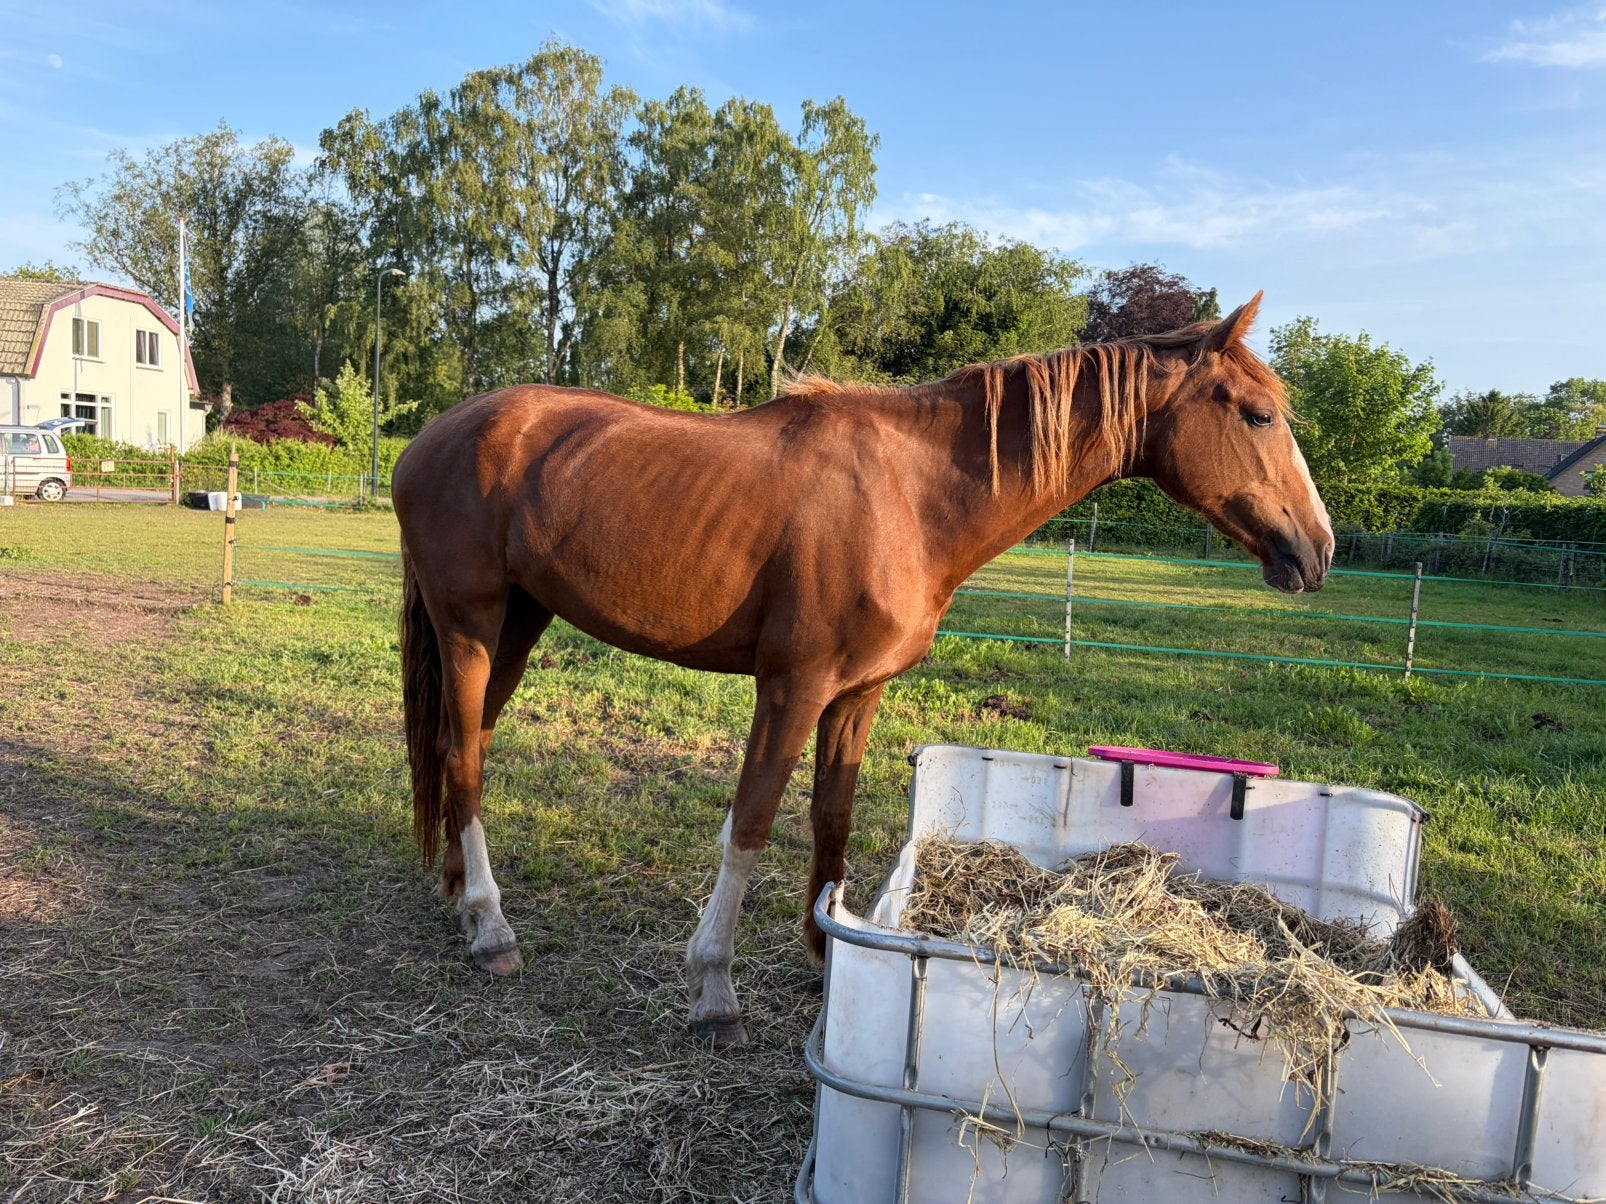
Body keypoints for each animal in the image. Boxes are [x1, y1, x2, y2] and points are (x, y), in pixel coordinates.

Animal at [393, 293, 1333, 1046]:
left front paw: (826, 953)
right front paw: (714, 987)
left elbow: (833, 817)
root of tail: (429, 439)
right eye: (1258, 415)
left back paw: (456, 893)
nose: (1317, 550)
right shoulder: (792, 688)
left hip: (517, 626)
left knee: (458, 748)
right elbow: (752, 825)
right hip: (472, 628)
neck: (909, 496)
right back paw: (491, 928)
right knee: (467, 760)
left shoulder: (857, 693)